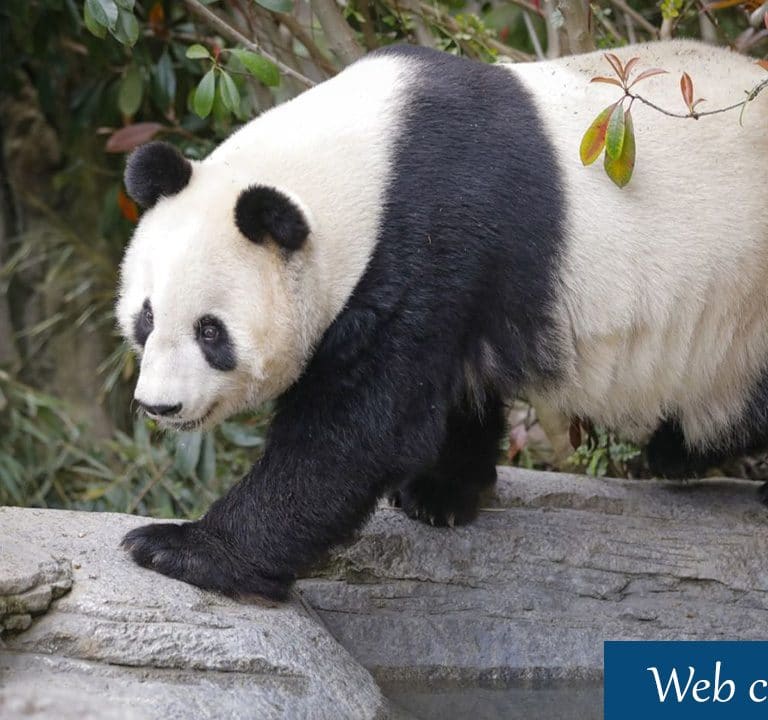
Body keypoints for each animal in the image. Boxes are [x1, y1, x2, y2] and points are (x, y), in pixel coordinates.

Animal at [118, 40, 768, 600]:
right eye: (146, 318)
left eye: (211, 331)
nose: (159, 405)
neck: (364, 164)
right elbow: (451, 391)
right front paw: (443, 492)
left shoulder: (432, 233)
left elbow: (362, 428)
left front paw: (179, 548)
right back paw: (676, 451)